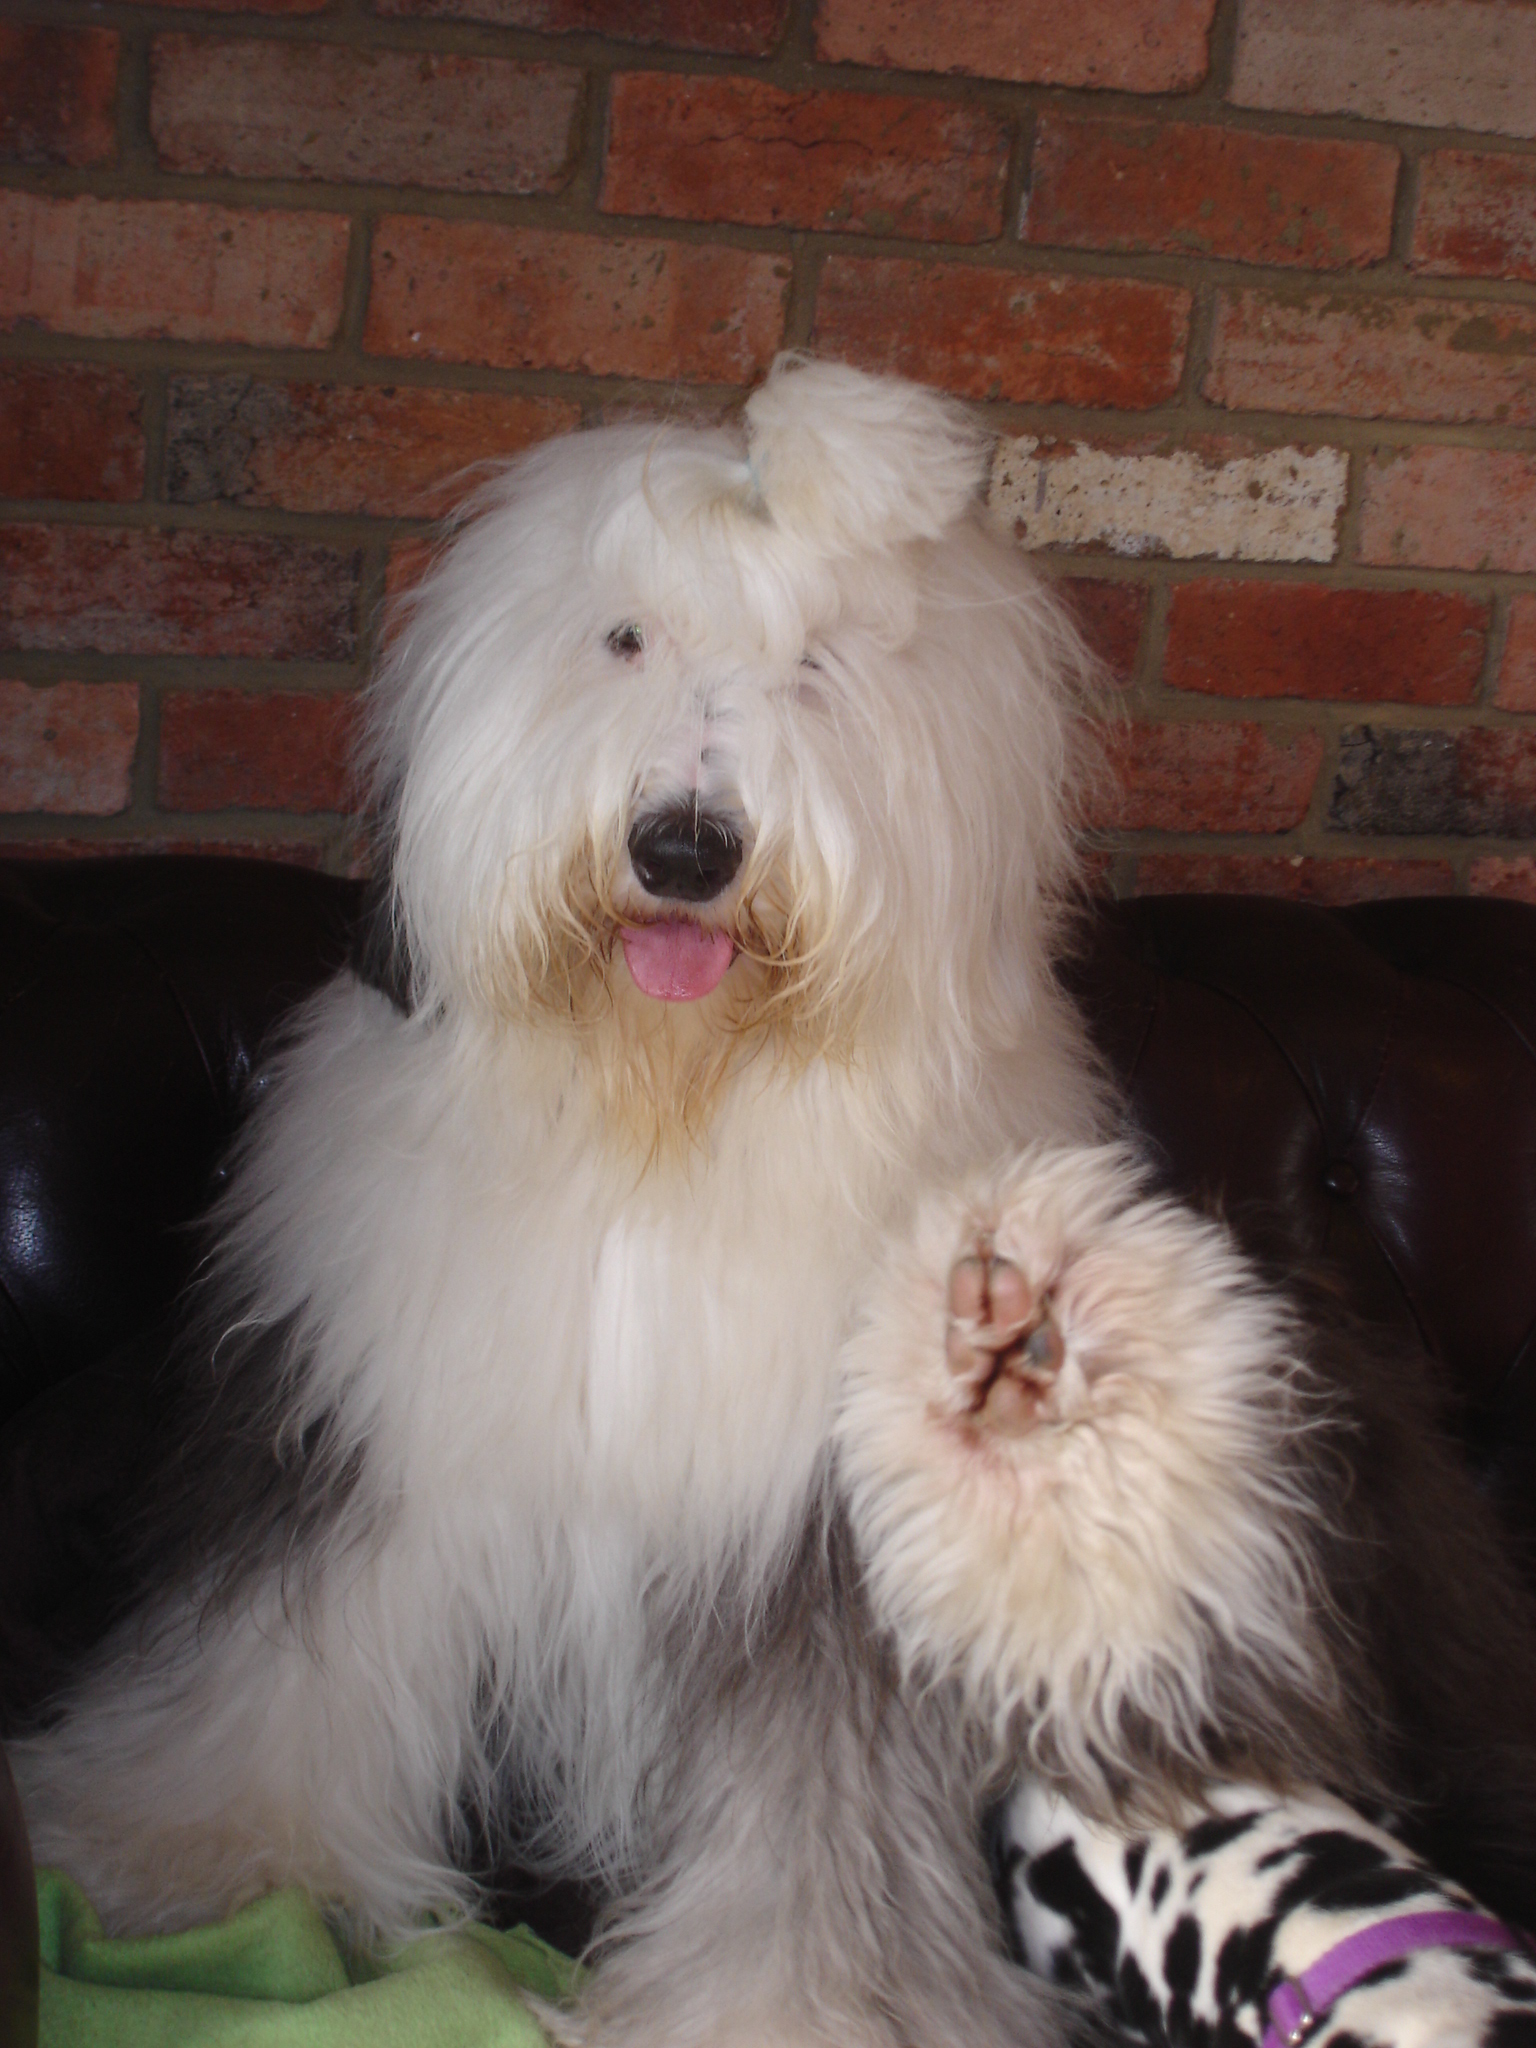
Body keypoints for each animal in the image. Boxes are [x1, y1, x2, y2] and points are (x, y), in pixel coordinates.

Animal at [12, 359, 1536, 2048]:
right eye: (623, 638)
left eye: (819, 669)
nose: (683, 847)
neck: (668, 1126)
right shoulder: (369, 1440)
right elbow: (282, 1673)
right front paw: (190, 1864)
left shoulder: (840, 1560)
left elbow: (828, 1818)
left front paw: (799, 2004)